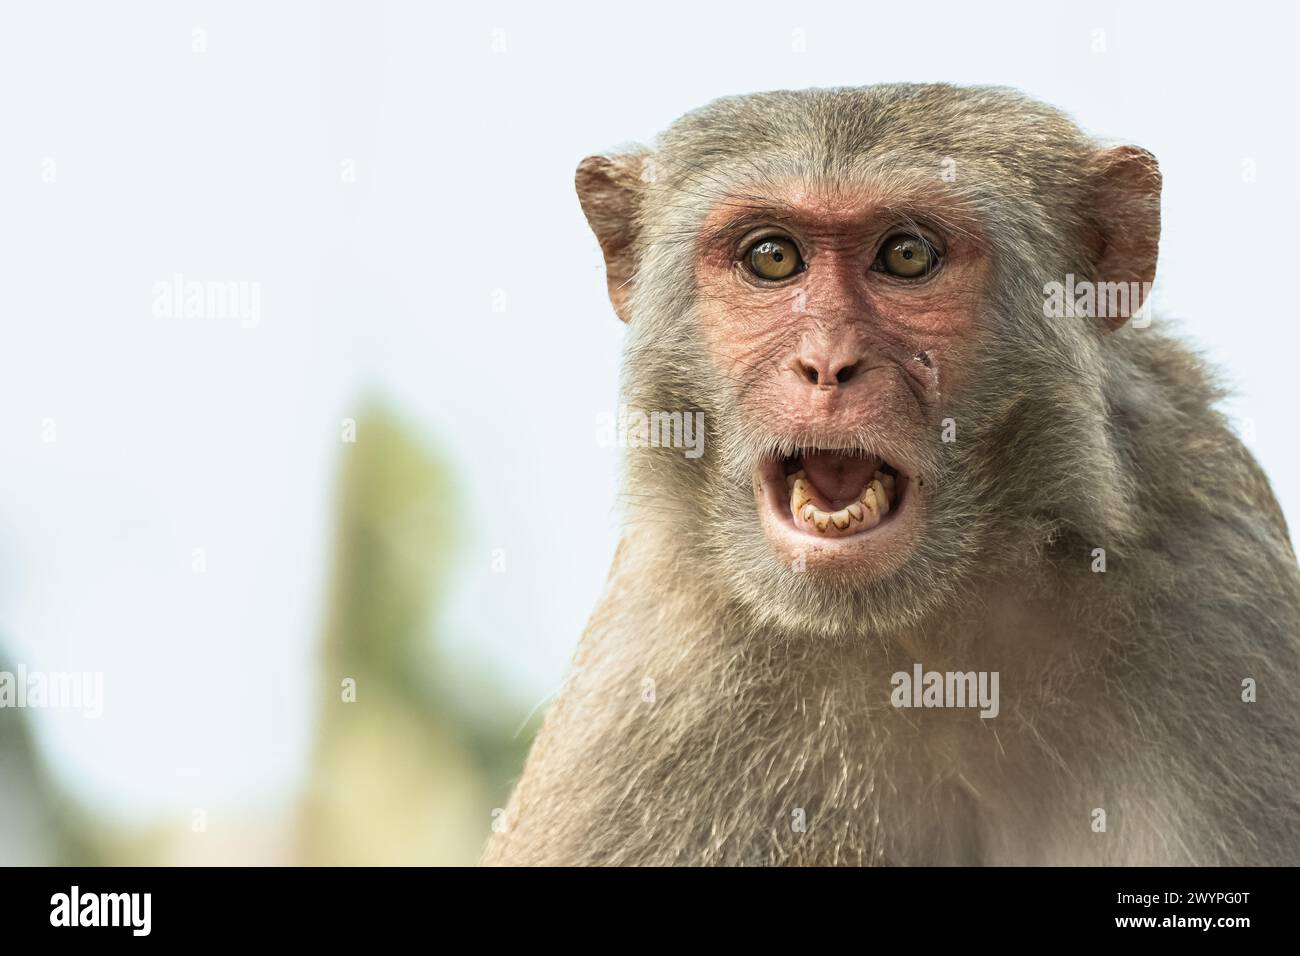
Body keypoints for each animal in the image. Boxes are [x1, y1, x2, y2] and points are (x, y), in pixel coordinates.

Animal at [484, 84, 1300, 866]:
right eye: (772, 258)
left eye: (907, 256)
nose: (826, 363)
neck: (918, 626)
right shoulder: (652, 679)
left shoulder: (1217, 587)